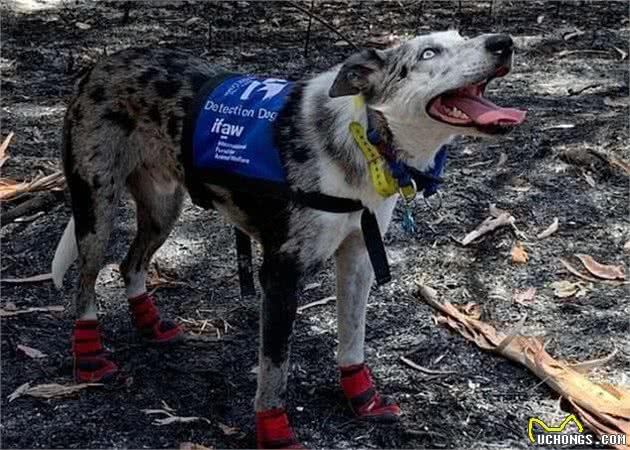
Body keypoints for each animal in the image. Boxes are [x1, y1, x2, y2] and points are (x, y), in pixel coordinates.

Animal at [51, 29, 528, 448]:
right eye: (429, 53)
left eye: (463, 36)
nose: (503, 43)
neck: (364, 139)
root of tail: (101, 64)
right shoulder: (280, 275)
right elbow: (274, 369)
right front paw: (275, 433)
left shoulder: (359, 258)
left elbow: (352, 341)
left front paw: (363, 399)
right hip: (96, 210)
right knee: (86, 283)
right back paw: (89, 358)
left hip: (163, 209)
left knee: (129, 264)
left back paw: (150, 324)